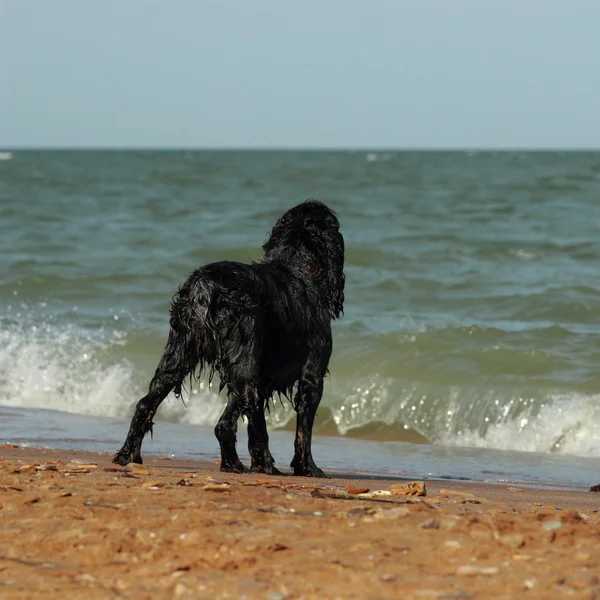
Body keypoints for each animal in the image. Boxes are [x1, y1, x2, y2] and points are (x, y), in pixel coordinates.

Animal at [114, 202, 344, 478]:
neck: (298, 266)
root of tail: (203, 288)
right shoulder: (312, 375)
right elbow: (303, 431)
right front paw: (307, 468)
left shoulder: (260, 375)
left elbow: (244, 425)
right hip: (242, 363)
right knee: (239, 417)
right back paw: (249, 465)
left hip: (177, 356)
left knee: (145, 405)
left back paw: (129, 455)